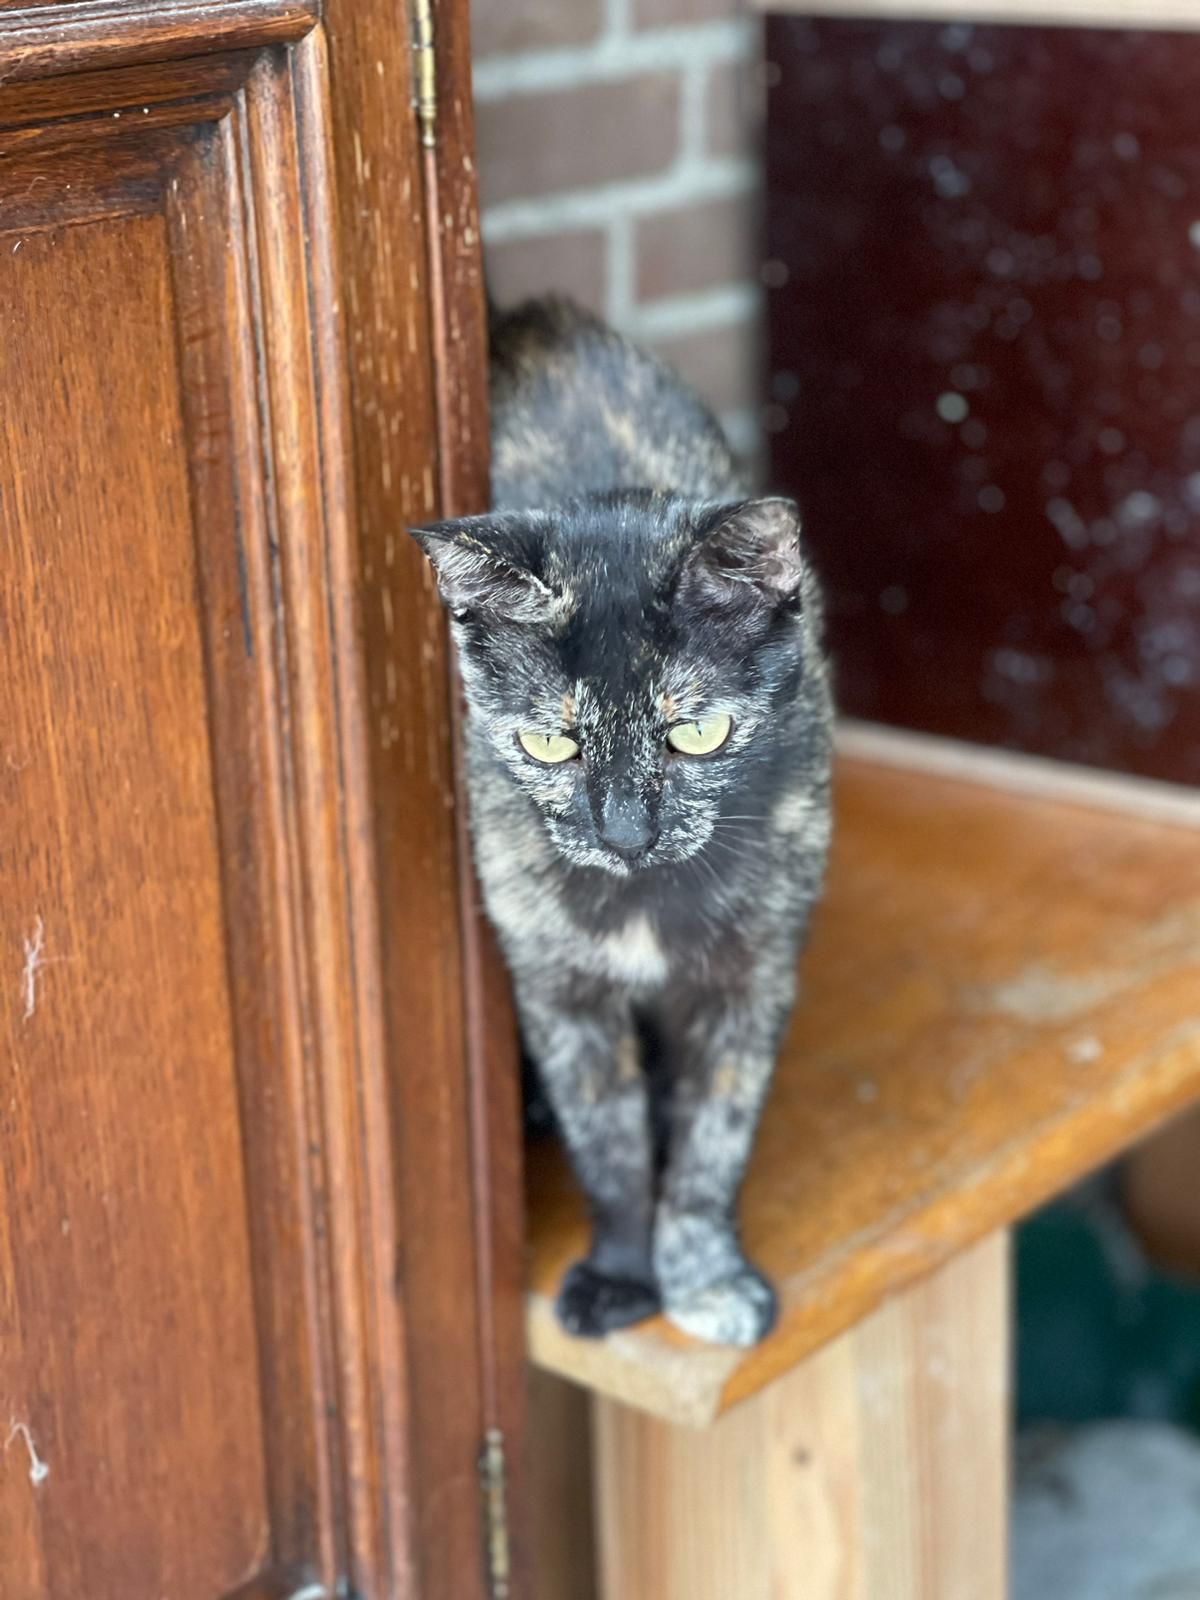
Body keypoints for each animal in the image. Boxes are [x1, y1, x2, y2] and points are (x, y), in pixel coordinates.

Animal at [409, 296, 833, 1347]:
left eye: (697, 732)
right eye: (549, 745)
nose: (627, 834)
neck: (650, 902)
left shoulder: (751, 979)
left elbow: (713, 1141)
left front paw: (705, 1278)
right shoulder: (559, 994)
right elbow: (608, 1143)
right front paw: (622, 1275)